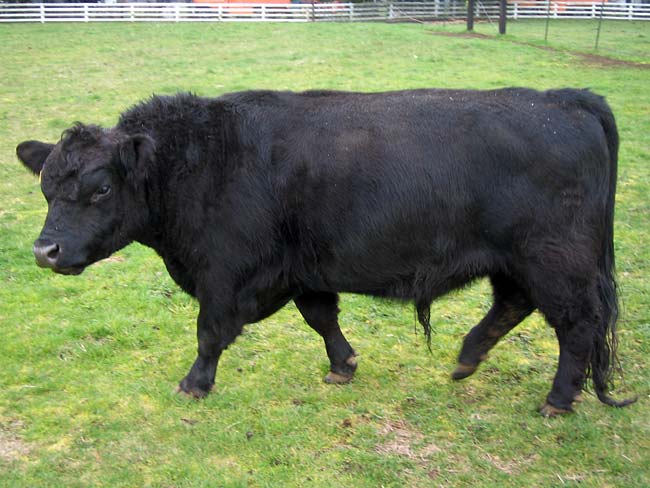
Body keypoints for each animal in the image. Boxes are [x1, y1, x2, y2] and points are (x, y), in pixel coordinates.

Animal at [15, 87, 632, 416]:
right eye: (46, 185)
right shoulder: (303, 270)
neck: (201, 160)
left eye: (100, 188)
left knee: (576, 324)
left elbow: (210, 333)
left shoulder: (224, 274)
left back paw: (557, 398)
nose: (46, 250)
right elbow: (321, 317)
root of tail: (565, 100)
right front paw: (343, 366)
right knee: (512, 304)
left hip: (555, 261)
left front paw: (194, 384)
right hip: (518, 262)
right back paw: (466, 358)